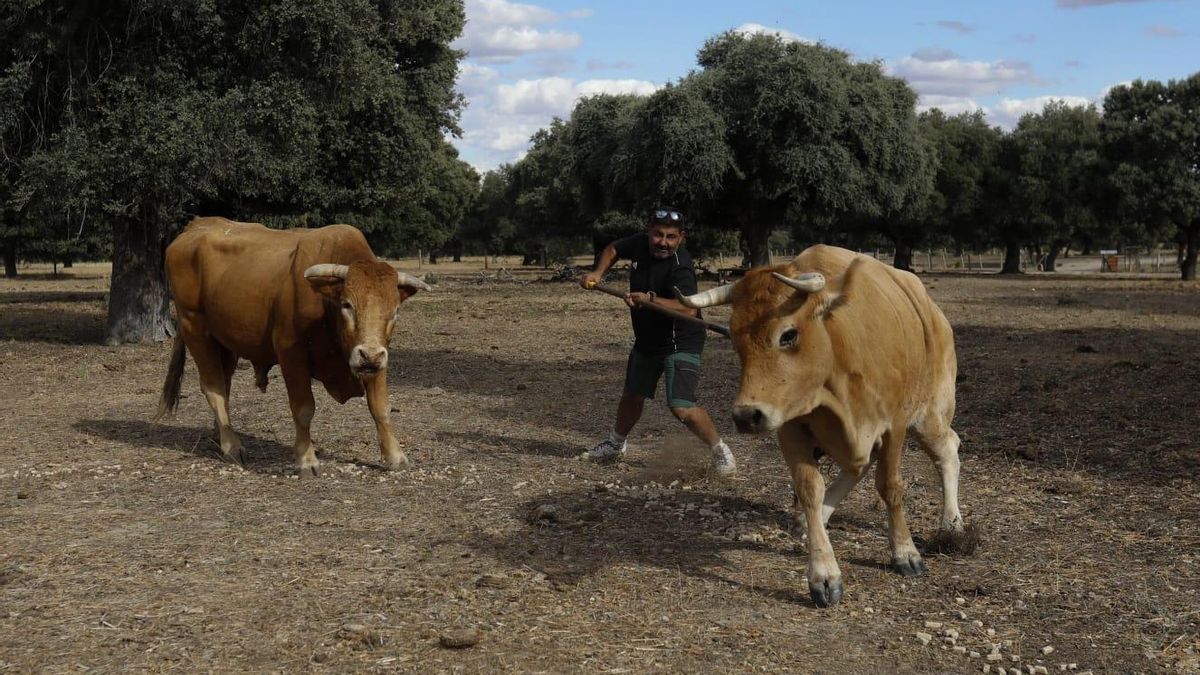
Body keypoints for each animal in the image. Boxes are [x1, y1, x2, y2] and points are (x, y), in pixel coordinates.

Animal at [152, 214, 429, 473]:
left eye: (395, 311)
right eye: (347, 304)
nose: (369, 355)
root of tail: (197, 225)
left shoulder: (376, 359)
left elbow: (380, 407)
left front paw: (395, 456)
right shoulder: (292, 355)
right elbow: (304, 409)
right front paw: (306, 459)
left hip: (225, 342)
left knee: (225, 383)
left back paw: (218, 434)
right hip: (195, 330)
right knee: (214, 388)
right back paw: (231, 446)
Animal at [686, 243, 964, 607]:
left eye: (788, 334)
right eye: (734, 338)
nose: (746, 416)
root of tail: (935, 315)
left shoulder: (895, 425)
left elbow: (890, 486)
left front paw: (905, 551)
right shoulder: (789, 427)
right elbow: (809, 489)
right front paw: (823, 573)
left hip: (930, 413)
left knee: (948, 450)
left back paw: (953, 522)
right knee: (860, 466)